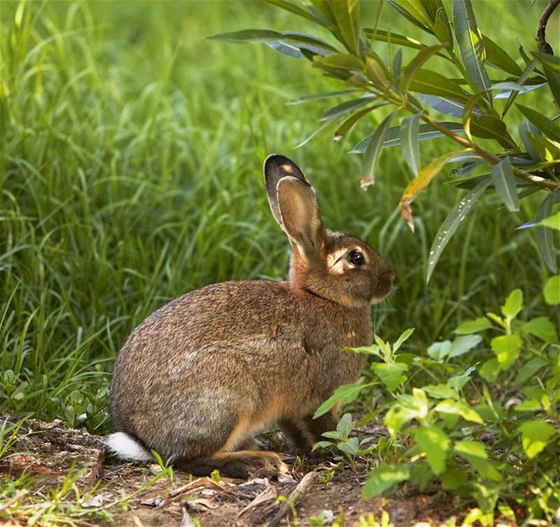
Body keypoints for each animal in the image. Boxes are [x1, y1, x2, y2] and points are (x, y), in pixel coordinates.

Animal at [108, 155, 394, 480]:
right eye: (356, 258)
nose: (391, 278)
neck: (323, 297)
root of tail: (139, 436)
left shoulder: (289, 409)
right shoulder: (319, 396)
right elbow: (325, 429)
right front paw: (342, 453)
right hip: (228, 395)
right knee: (188, 458)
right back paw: (259, 462)